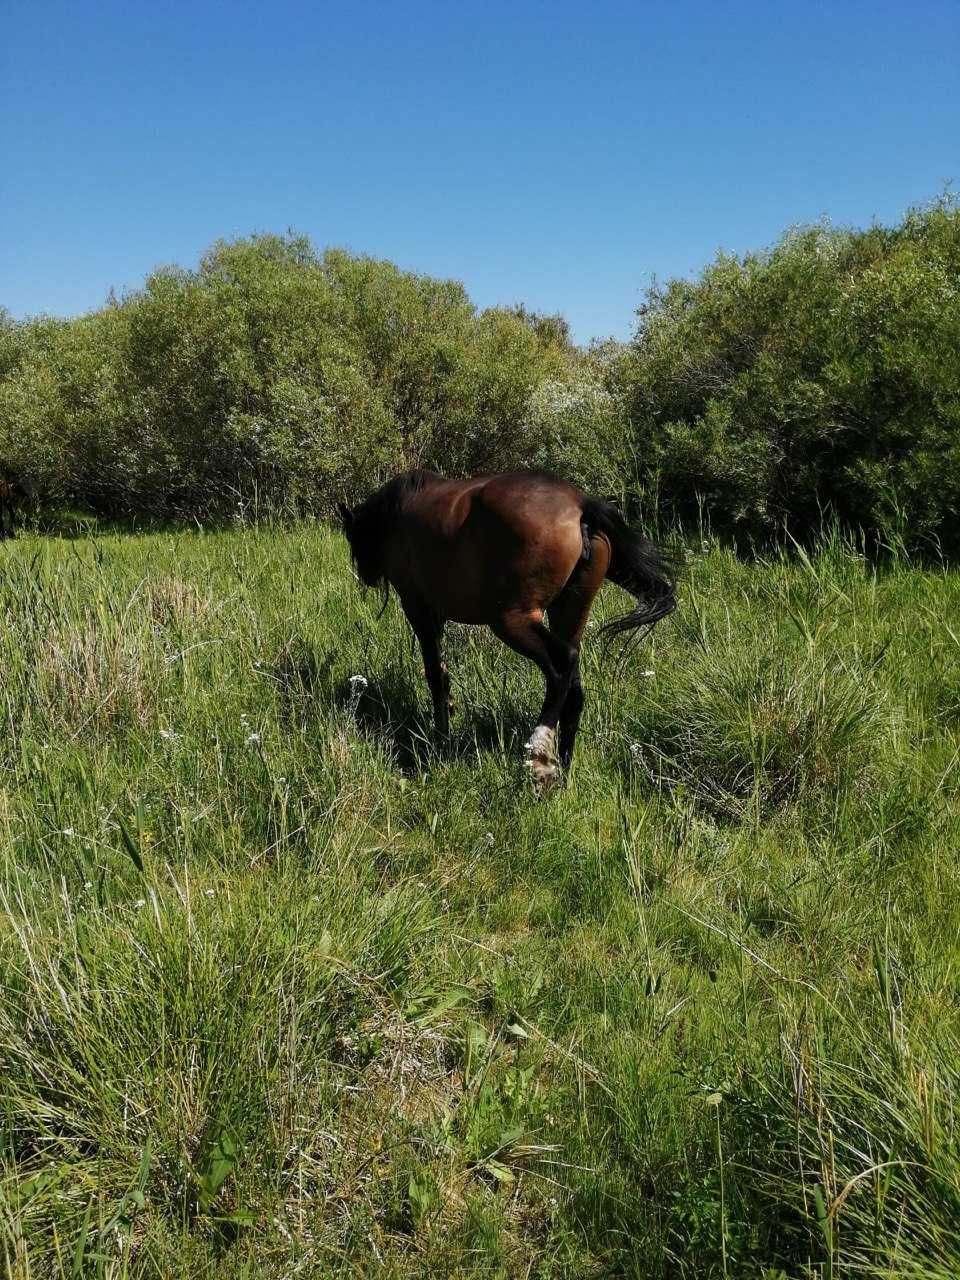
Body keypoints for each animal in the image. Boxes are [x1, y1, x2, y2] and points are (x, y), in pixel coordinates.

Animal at [337, 471, 675, 788]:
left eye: (354, 542)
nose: (366, 576)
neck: (397, 511)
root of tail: (581, 505)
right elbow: (443, 676)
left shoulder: (419, 610)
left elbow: (434, 676)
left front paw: (440, 738)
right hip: (568, 615)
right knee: (574, 687)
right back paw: (564, 769)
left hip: (512, 622)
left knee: (561, 665)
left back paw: (540, 753)